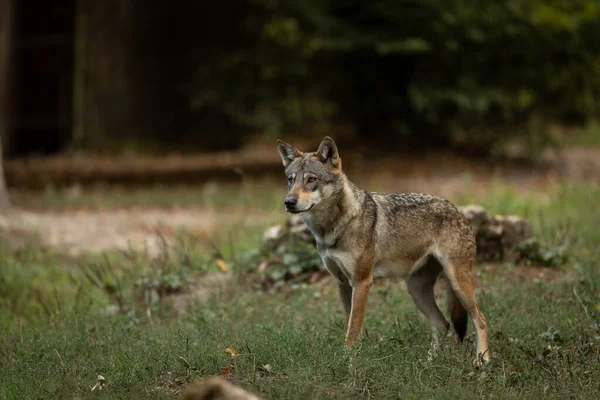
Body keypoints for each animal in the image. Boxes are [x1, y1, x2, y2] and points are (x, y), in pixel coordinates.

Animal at [278, 137, 490, 366]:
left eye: (311, 179)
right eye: (290, 180)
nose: (288, 202)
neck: (333, 227)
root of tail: (458, 210)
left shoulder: (362, 282)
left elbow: (352, 330)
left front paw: (348, 362)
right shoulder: (342, 283)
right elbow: (349, 324)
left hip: (456, 283)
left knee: (480, 319)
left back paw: (482, 361)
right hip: (416, 290)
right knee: (443, 324)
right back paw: (427, 363)